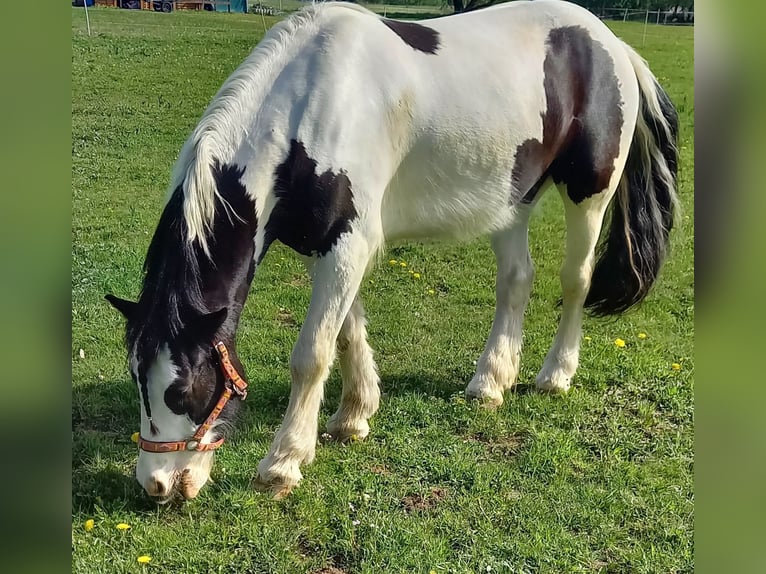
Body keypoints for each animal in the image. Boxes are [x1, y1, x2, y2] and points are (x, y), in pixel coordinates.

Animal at [105, 0, 678, 502]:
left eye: (181, 389)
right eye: (136, 378)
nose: (156, 484)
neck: (308, 110)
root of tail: (611, 44)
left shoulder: (347, 246)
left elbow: (312, 353)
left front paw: (285, 462)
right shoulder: (328, 245)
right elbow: (346, 333)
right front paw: (353, 417)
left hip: (589, 194)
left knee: (574, 281)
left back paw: (555, 375)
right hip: (513, 198)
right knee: (516, 281)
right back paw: (491, 382)